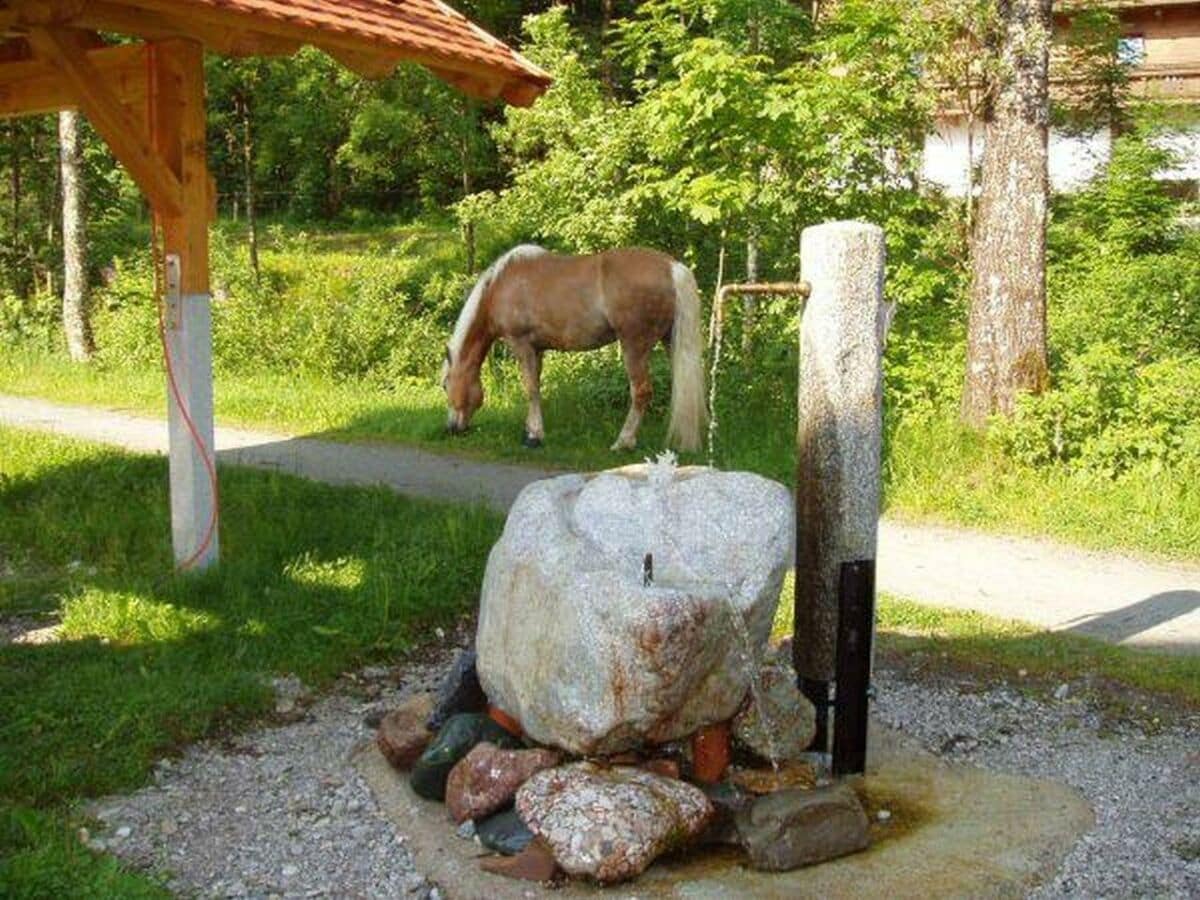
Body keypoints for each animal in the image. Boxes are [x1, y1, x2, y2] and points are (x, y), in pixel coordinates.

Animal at [441, 244, 705, 451]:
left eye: (445, 385)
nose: (452, 428)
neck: (500, 286)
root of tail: (671, 267)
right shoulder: (537, 350)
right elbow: (536, 387)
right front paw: (530, 431)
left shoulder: (521, 344)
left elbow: (530, 389)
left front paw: (535, 436)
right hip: (670, 341)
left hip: (635, 345)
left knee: (641, 392)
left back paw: (623, 442)